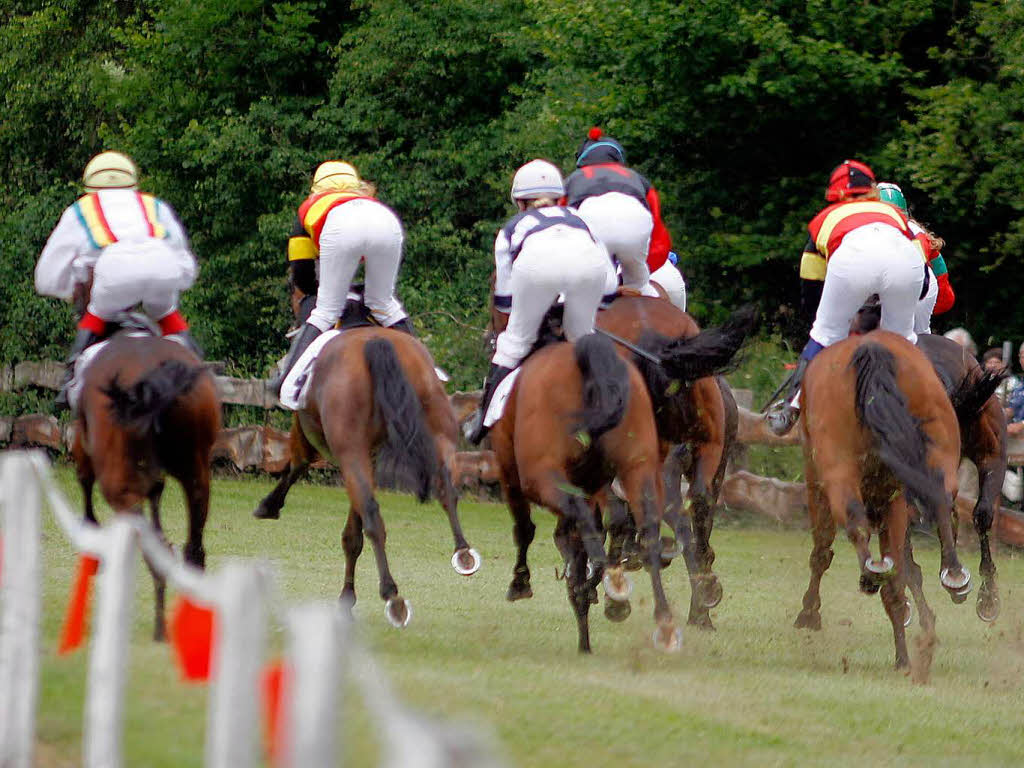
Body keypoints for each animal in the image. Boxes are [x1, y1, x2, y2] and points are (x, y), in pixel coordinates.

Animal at [253, 327, 481, 626]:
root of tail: (376, 341)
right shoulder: (366, 460)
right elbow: (353, 534)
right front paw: (347, 598)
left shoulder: (317, 441)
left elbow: (298, 466)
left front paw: (269, 505)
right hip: (437, 431)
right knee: (447, 490)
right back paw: (463, 552)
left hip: (350, 451)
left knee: (373, 516)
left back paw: (393, 596)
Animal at [794, 333, 995, 671]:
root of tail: (871, 349)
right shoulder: (897, 499)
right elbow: (900, 578)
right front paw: (904, 654)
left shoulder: (819, 483)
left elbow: (822, 550)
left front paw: (809, 613)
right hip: (937, 444)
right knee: (940, 499)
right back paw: (952, 573)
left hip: (836, 468)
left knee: (852, 520)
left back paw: (872, 573)